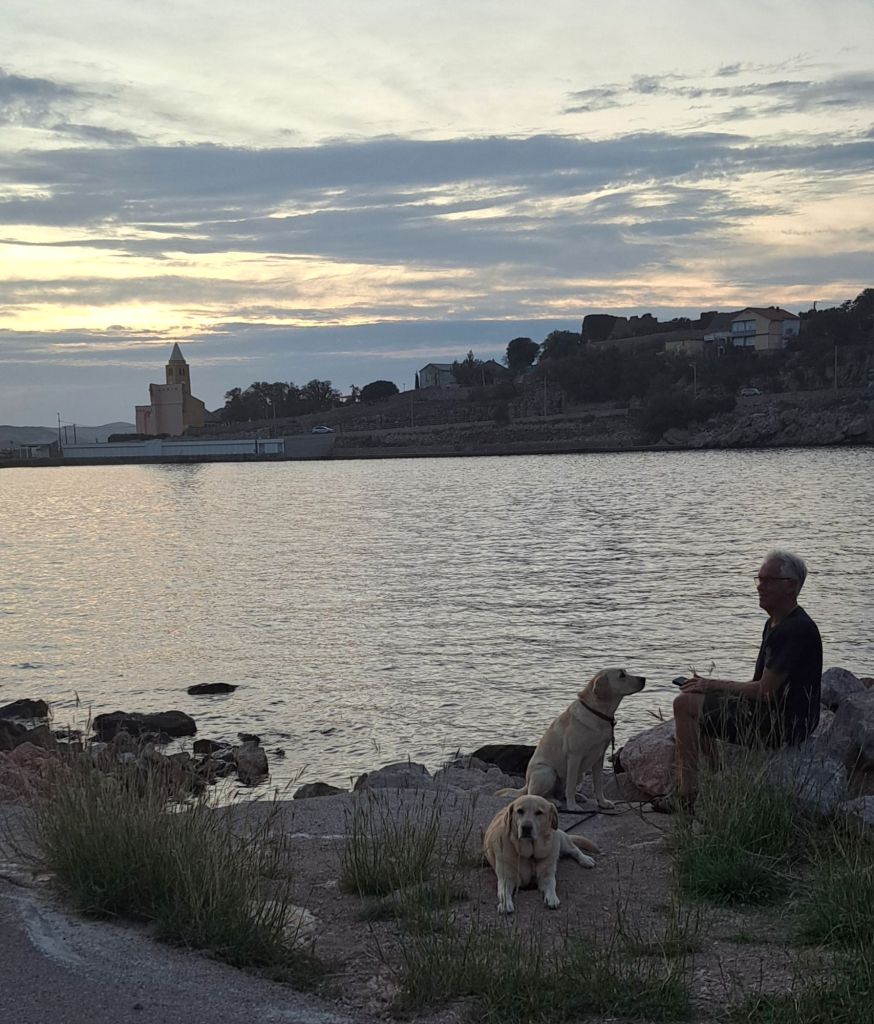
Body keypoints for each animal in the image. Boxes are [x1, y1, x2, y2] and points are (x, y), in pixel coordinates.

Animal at [497, 668, 646, 812]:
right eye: (622, 675)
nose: (643, 678)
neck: (597, 713)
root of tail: (526, 784)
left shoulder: (599, 757)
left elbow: (598, 784)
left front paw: (602, 803)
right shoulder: (574, 756)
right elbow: (571, 785)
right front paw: (572, 806)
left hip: (581, 774)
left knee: (560, 792)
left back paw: (576, 797)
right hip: (547, 772)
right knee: (535, 794)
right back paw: (555, 802)